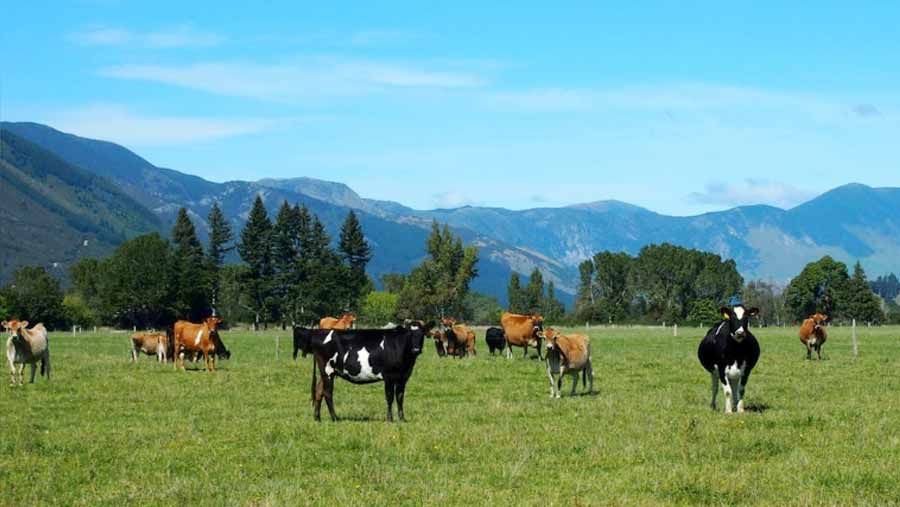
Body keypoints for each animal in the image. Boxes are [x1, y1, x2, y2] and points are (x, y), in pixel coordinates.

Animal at [294, 324, 434, 422]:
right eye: (410, 335)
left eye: (422, 334)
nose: (416, 349)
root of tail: (317, 332)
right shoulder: (389, 376)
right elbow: (390, 397)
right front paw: (390, 419)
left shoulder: (403, 377)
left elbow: (400, 397)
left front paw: (402, 419)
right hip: (327, 369)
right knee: (327, 393)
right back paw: (334, 418)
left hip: (328, 372)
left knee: (319, 391)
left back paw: (317, 418)